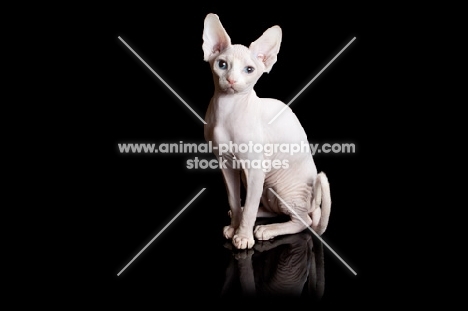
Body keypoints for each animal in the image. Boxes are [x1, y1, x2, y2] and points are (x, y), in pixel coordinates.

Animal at [203, 13, 330, 250]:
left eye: (249, 70)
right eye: (222, 65)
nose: (231, 80)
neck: (227, 109)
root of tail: (313, 206)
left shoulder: (255, 168)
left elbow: (251, 208)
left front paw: (243, 237)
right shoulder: (226, 163)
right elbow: (234, 199)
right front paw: (234, 227)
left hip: (280, 185)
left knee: (304, 221)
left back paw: (267, 230)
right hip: (266, 185)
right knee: (267, 208)